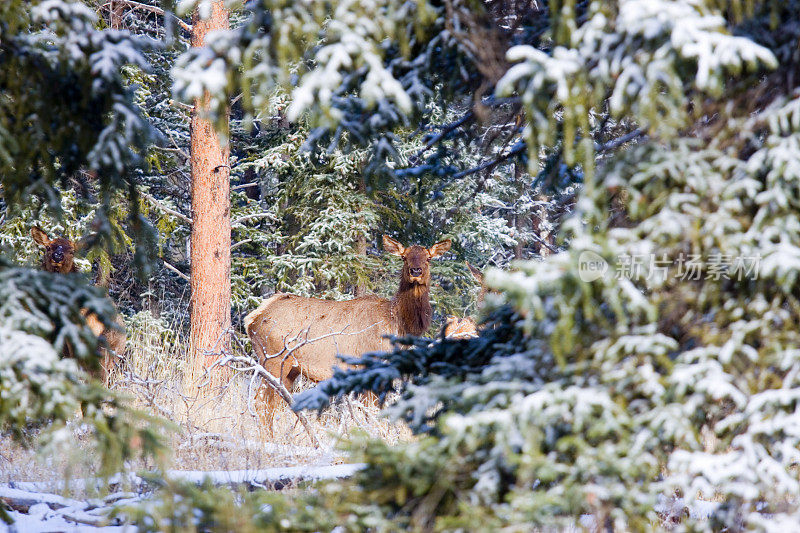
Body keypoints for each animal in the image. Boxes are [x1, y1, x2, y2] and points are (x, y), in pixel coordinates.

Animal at [245, 235, 450, 434]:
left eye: (428, 258)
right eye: (404, 257)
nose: (416, 271)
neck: (398, 323)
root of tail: (252, 318)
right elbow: (372, 415)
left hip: (290, 370)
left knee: (276, 404)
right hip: (273, 360)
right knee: (261, 402)